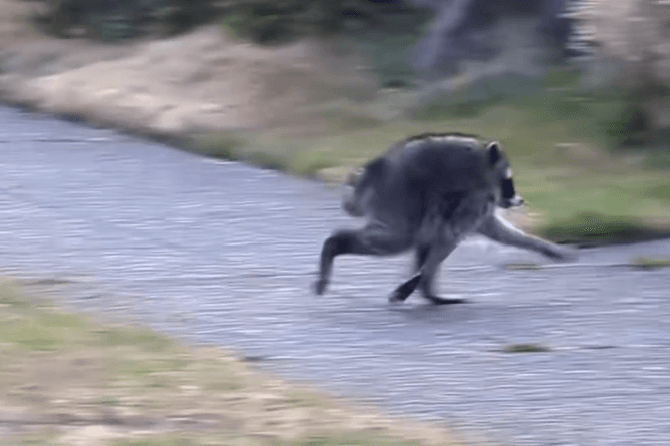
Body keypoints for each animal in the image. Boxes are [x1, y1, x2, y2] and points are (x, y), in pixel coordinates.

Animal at [314, 132, 578, 305]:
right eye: (509, 182)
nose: (520, 200)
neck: (483, 161)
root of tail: (369, 173)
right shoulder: (474, 196)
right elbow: (450, 236)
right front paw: (419, 280)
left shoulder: (479, 204)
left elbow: (499, 231)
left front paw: (543, 246)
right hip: (399, 195)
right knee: (400, 238)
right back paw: (333, 245)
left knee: (421, 236)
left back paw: (430, 292)